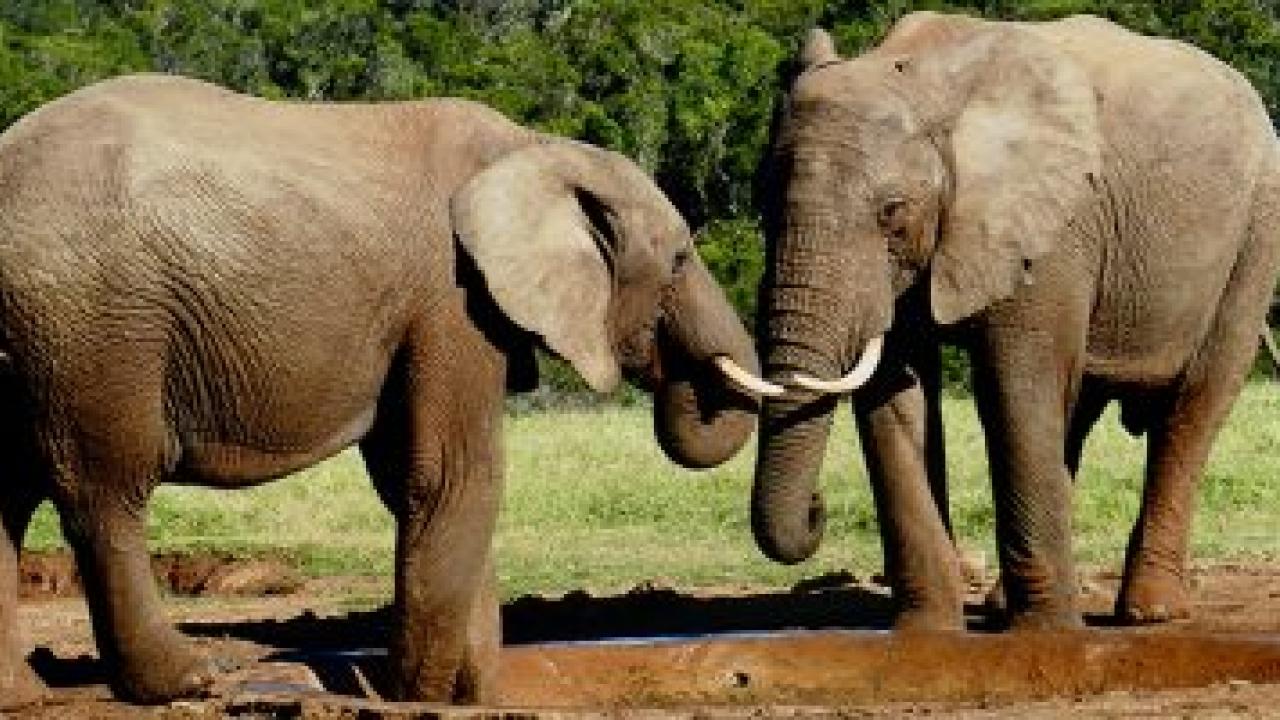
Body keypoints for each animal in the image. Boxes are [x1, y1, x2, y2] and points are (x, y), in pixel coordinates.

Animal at [0, 74, 764, 706]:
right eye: (679, 260)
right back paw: (191, 679)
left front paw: (470, 694)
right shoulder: (454, 300)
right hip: (93, 322)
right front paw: (417, 696)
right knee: (107, 490)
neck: (531, 148)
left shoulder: (427, 313)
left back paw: (24, 695)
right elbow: (454, 475)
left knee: (8, 497)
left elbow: (413, 480)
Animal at [740, 13, 1280, 632]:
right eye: (763, 203)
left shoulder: (1051, 230)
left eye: (891, 212)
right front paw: (926, 633)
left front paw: (1047, 634)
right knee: (1074, 412)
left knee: (1193, 408)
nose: (817, 507)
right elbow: (896, 402)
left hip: (1255, 236)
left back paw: (1152, 613)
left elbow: (1013, 391)